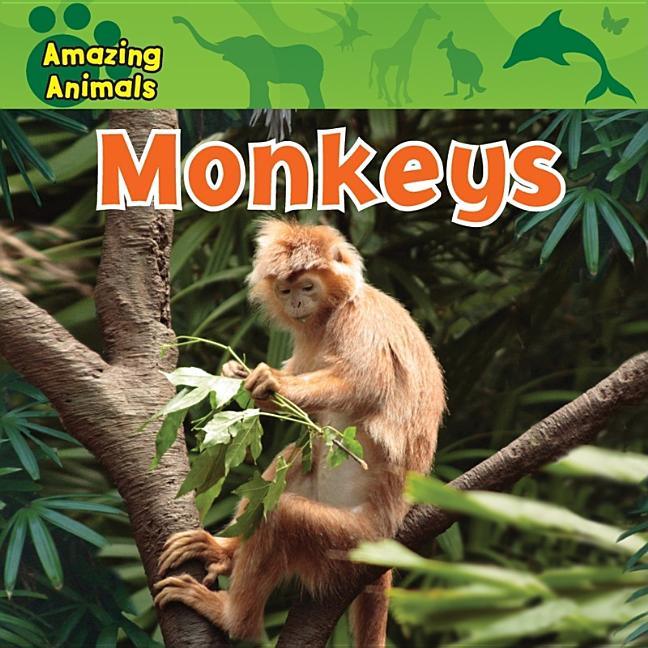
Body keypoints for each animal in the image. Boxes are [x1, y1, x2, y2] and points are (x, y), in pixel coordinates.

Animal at [154, 218, 445, 646]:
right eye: (286, 290)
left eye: (308, 287)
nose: (295, 304)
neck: (330, 313)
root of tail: (390, 530)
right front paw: (238, 375)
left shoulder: (359, 321)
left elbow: (365, 384)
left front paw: (273, 382)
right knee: (290, 460)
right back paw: (226, 549)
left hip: (349, 542)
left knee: (284, 515)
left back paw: (232, 618)